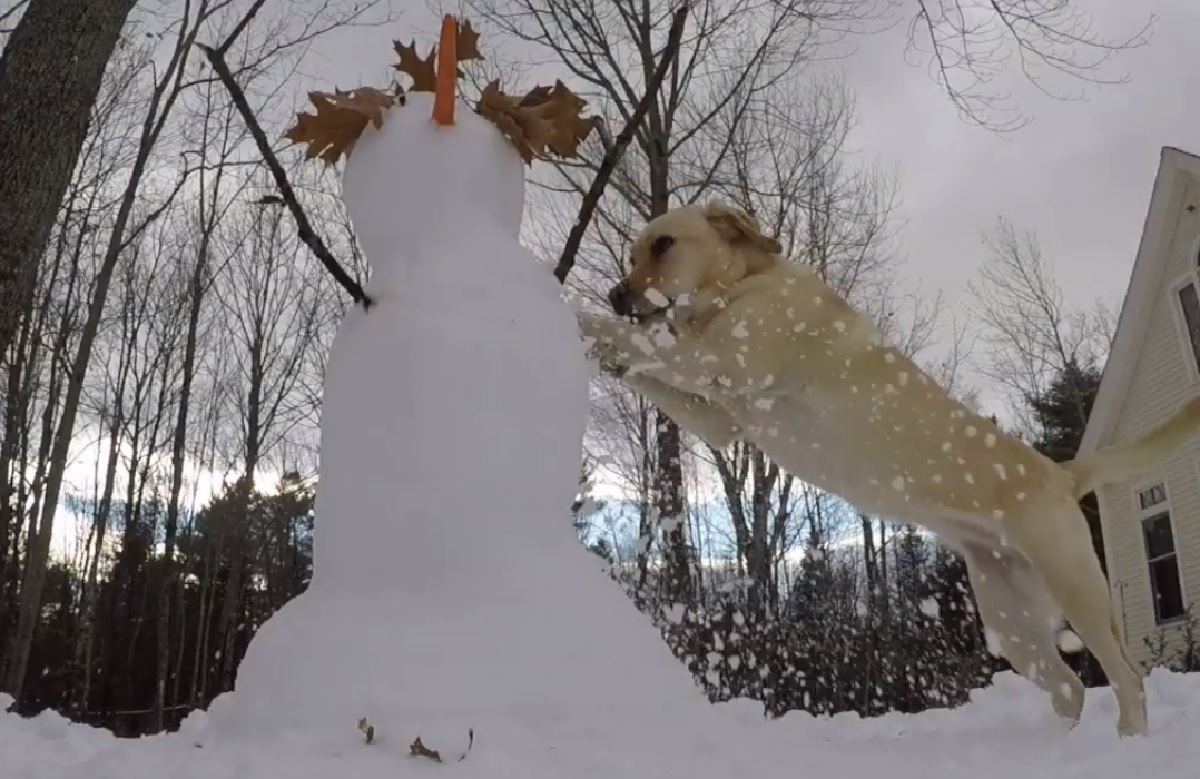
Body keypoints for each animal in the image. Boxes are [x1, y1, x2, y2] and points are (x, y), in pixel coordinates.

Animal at [573, 200, 1200, 734]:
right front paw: (602, 349)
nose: (615, 293)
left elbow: (637, 339)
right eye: (632, 252)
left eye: (663, 244)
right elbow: (645, 365)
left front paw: (581, 315)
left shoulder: (720, 361)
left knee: (1126, 677)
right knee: (1069, 686)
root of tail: (1061, 472)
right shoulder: (719, 422)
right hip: (1010, 621)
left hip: (1076, 588)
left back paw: (1127, 740)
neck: (739, 287)